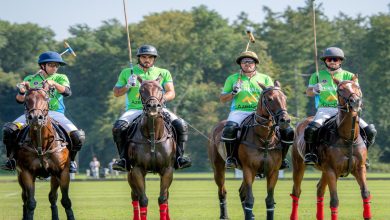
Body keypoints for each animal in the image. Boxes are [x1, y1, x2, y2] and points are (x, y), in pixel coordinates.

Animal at [16, 83, 74, 220]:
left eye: (46, 98)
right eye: (26, 99)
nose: (36, 118)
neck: (41, 145)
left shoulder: (62, 172)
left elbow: (66, 201)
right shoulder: (26, 172)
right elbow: (31, 202)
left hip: (54, 175)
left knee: (52, 197)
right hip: (19, 174)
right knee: (25, 198)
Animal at [127, 76, 176, 220]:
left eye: (160, 89)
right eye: (141, 90)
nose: (153, 107)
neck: (154, 136)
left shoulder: (167, 169)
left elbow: (163, 198)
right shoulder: (137, 170)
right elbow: (143, 199)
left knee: (166, 196)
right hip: (129, 173)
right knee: (135, 196)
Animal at [209, 81, 290, 220]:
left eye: (285, 98)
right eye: (270, 99)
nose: (285, 120)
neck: (265, 138)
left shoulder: (273, 171)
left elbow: (269, 200)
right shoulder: (249, 169)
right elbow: (250, 199)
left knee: (242, 192)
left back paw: (250, 215)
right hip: (218, 167)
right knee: (222, 191)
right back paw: (224, 215)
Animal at [290, 76, 372, 220]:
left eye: (357, 87)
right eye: (340, 89)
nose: (355, 102)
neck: (348, 138)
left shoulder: (359, 168)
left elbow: (365, 194)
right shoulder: (331, 170)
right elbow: (334, 200)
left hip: (323, 170)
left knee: (319, 189)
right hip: (299, 164)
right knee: (297, 191)